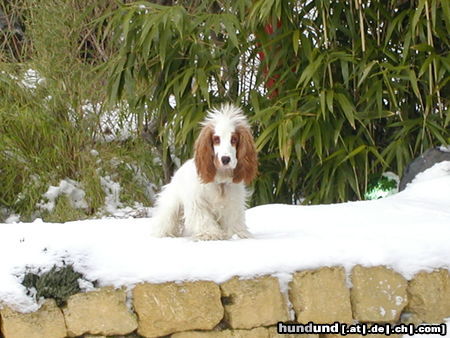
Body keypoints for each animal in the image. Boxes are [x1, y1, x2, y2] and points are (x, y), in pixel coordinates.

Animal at [151, 103, 256, 240]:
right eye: (216, 139)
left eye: (234, 139)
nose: (225, 159)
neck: (220, 182)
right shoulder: (197, 202)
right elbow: (204, 219)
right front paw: (210, 234)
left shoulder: (233, 203)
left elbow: (234, 220)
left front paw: (238, 234)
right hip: (171, 204)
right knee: (166, 220)